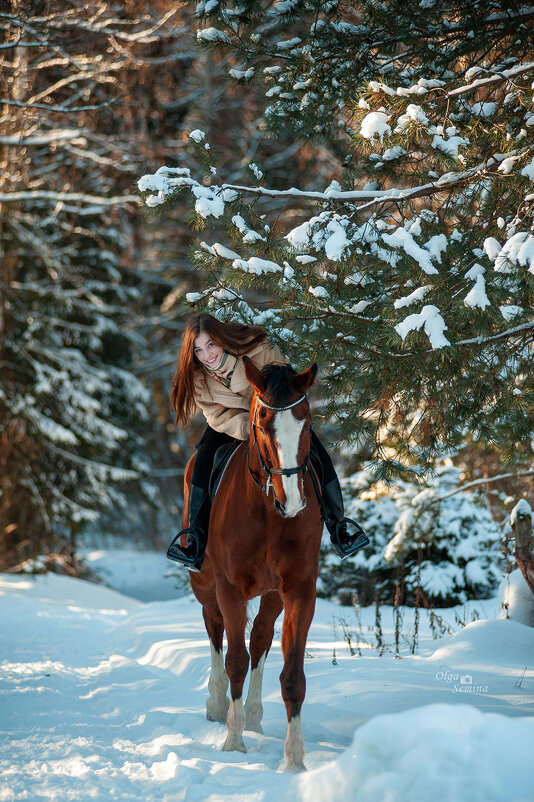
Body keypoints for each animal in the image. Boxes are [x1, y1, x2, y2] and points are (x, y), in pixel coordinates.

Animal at [184, 358, 322, 768]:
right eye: (261, 424)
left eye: (307, 423)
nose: (292, 501)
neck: (267, 513)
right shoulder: (230, 588)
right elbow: (235, 660)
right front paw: (233, 742)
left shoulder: (298, 589)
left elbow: (291, 674)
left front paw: (294, 758)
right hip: (205, 584)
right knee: (214, 628)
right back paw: (218, 705)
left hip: (272, 594)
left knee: (260, 636)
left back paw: (255, 717)